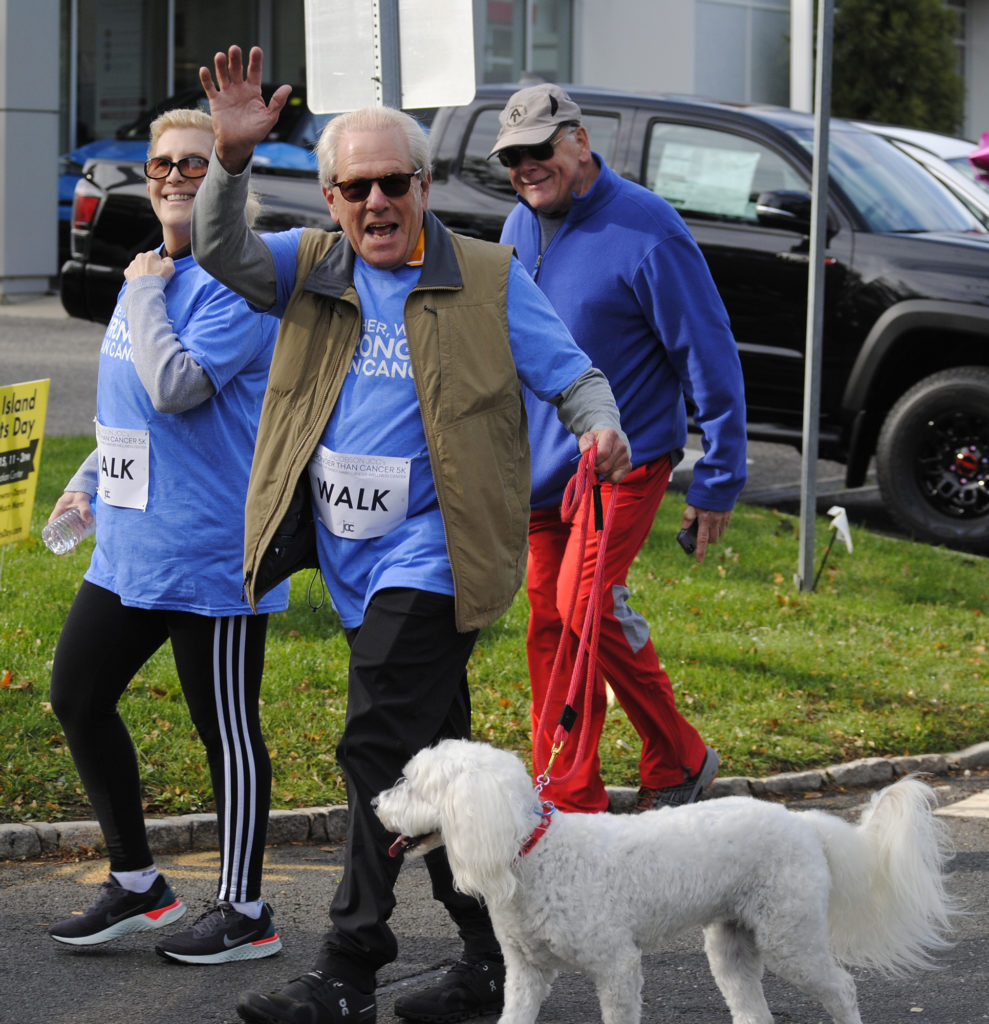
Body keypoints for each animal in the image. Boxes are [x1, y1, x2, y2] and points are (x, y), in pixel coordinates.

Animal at [372, 741, 958, 1019]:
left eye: (414, 785)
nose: (375, 804)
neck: (534, 851)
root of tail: (803, 822)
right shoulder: (526, 973)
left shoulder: (616, 966)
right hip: (732, 944)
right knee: (751, 1005)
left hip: (791, 938)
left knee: (841, 988)